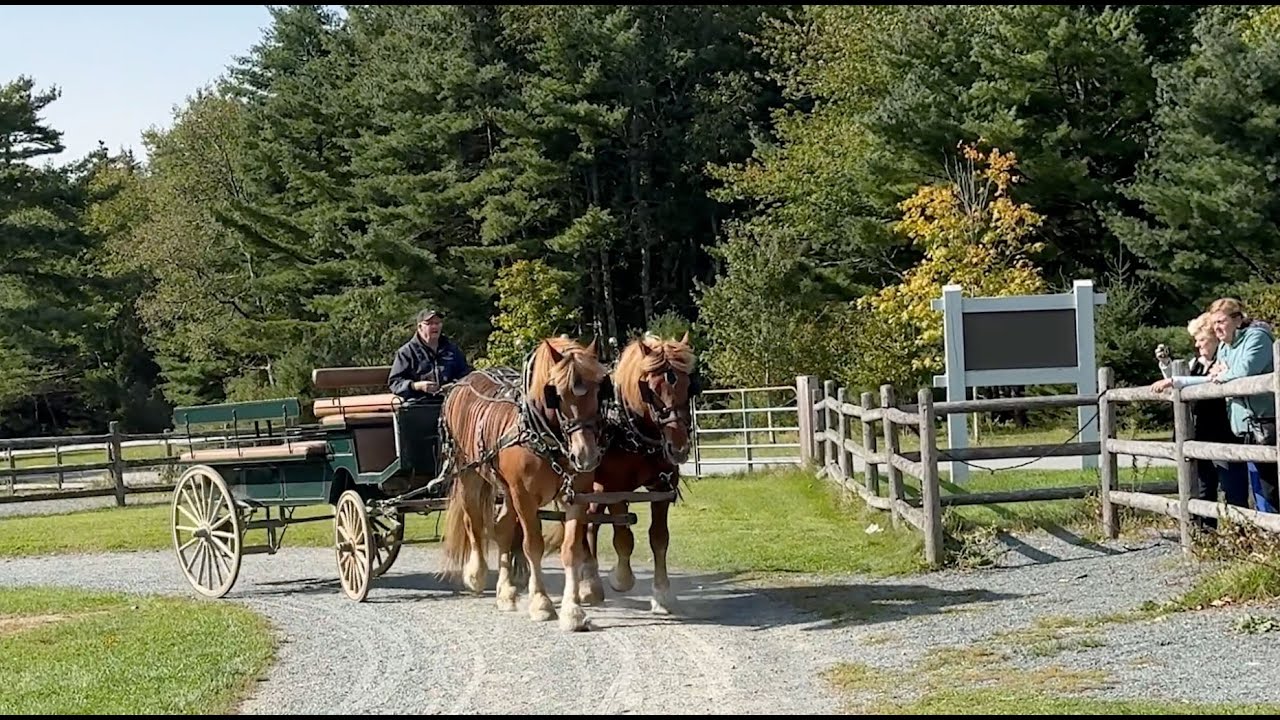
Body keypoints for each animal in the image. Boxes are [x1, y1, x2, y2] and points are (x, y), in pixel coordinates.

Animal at [437, 335, 609, 632]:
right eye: (556, 394)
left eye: (599, 389)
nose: (585, 455)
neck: (544, 435)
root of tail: (460, 383)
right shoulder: (524, 496)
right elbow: (533, 546)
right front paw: (541, 603)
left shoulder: (576, 495)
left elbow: (571, 549)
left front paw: (572, 610)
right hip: (469, 475)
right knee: (474, 523)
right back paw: (476, 574)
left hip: (506, 490)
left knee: (502, 529)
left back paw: (505, 592)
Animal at [548, 331, 699, 614]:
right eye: (651, 390)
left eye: (689, 385)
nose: (679, 448)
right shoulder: (614, 489)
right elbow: (623, 538)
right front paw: (621, 579)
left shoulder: (661, 488)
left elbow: (659, 538)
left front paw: (662, 594)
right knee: (585, 525)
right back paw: (589, 585)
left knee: (591, 524)